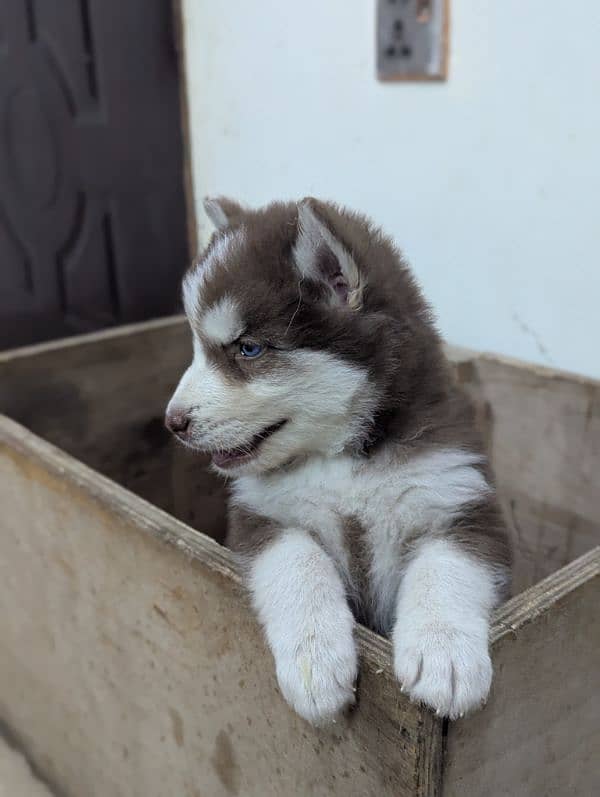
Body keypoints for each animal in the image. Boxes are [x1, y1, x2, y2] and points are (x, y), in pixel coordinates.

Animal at [165, 197, 510, 720]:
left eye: (248, 348)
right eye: (197, 349)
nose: (173, 421)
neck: (345, 459)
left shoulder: (458, 494)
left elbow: (446, 566)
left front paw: (443, 650)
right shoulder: (261, 518)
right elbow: (297, 561)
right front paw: (315, 658)